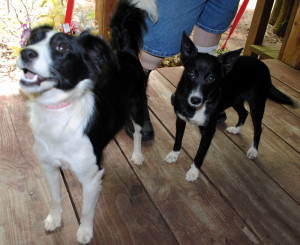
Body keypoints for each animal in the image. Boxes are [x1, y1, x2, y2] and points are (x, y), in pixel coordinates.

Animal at [16, 0, 158, 243]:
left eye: (61, 49)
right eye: (32, 40)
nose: (26, 53)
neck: (57, 112)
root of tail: (126, 53)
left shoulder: (91, 179)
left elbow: (86, 210)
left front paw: (85, 232)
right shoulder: (49, 167)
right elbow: (56, 198)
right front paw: (55, 219)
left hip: (137, 107)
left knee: (139, 132)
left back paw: (137, 155)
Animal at [165, 33, 294, 182]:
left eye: (211, 78)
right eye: (191, 73)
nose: (195, 100)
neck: (196, 108)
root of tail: (262, 65)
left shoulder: (209, 132)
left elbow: (200, 154)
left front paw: (193, 172)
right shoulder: (180, 120)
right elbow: (178, 140)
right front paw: (174, 154)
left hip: (257, 105)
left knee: (258, 128)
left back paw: (253, 150)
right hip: (235, 100)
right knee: (244, 113)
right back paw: (236, 129)